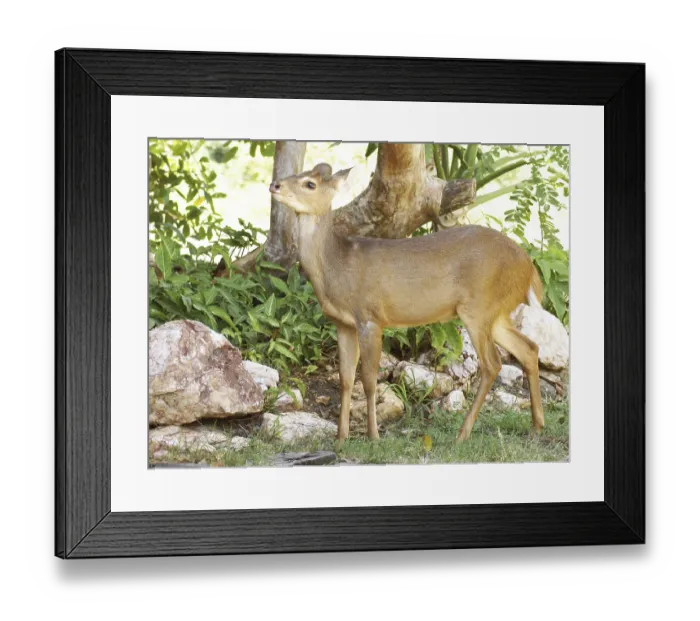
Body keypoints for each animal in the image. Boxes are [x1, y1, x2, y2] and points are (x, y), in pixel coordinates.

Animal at [269, 163, 545, 445]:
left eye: (310, 184)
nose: (274, 185)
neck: (336, 266)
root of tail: (529, 268)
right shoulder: (343, 323)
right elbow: (345, 379)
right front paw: (341, 437)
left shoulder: (370, 317)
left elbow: (368, 380)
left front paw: (373, 435)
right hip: (496, 313)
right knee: (529, 348)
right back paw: (536, 426)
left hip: (478, 307)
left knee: (493, 363)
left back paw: (463, 433)